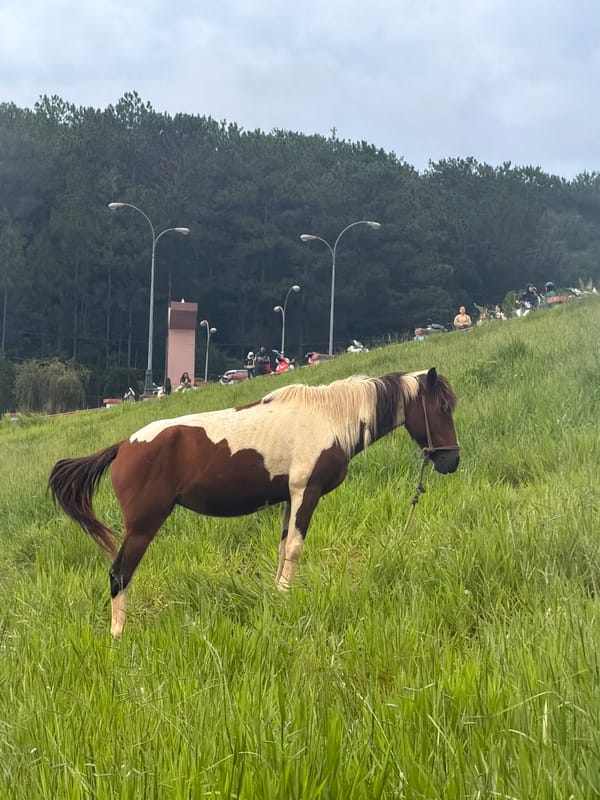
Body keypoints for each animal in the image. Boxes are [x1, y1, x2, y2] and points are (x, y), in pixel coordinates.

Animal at [49, 368, 460, 636]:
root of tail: (123, 446)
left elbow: (282, 550)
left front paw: (278, 598)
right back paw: (118, 637)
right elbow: (294, 549)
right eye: (441, 407)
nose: (451, 461)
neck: (328, 417)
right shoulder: (306, 493)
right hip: (143, 526)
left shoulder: (289, 499)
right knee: (119, 574)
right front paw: (286, 598)